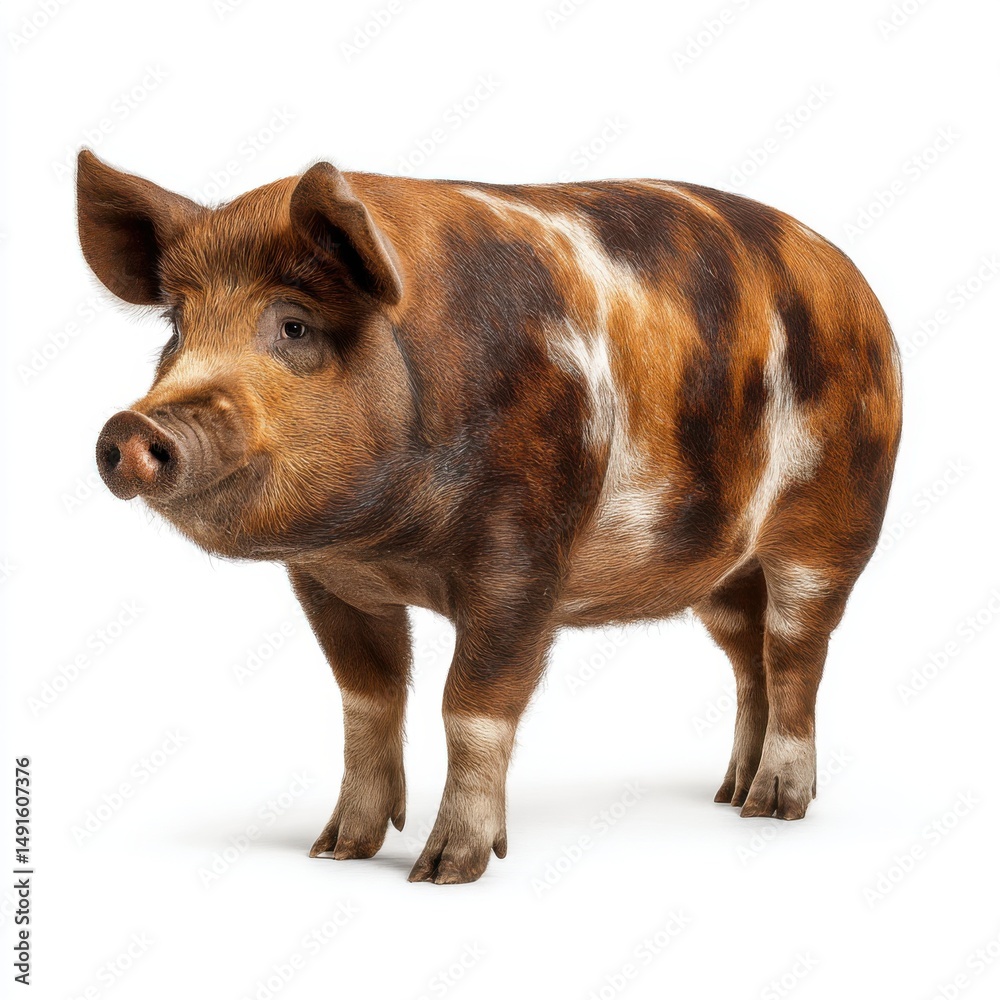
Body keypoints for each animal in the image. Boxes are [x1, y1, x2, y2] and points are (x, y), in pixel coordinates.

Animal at [77, 148, 902, 884]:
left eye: (295, 326)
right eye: (176, 329)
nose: (132, 427)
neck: (385, 543)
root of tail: (856, 287)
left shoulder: (523, 559)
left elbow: (469, 706)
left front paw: (445, 872)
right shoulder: (328, 579)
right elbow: (366, 701)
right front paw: (336, 851)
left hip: (832, 527)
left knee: (796, 653)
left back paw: (775, 807)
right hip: (723, 568)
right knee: (746, 656)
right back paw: (730, 794)